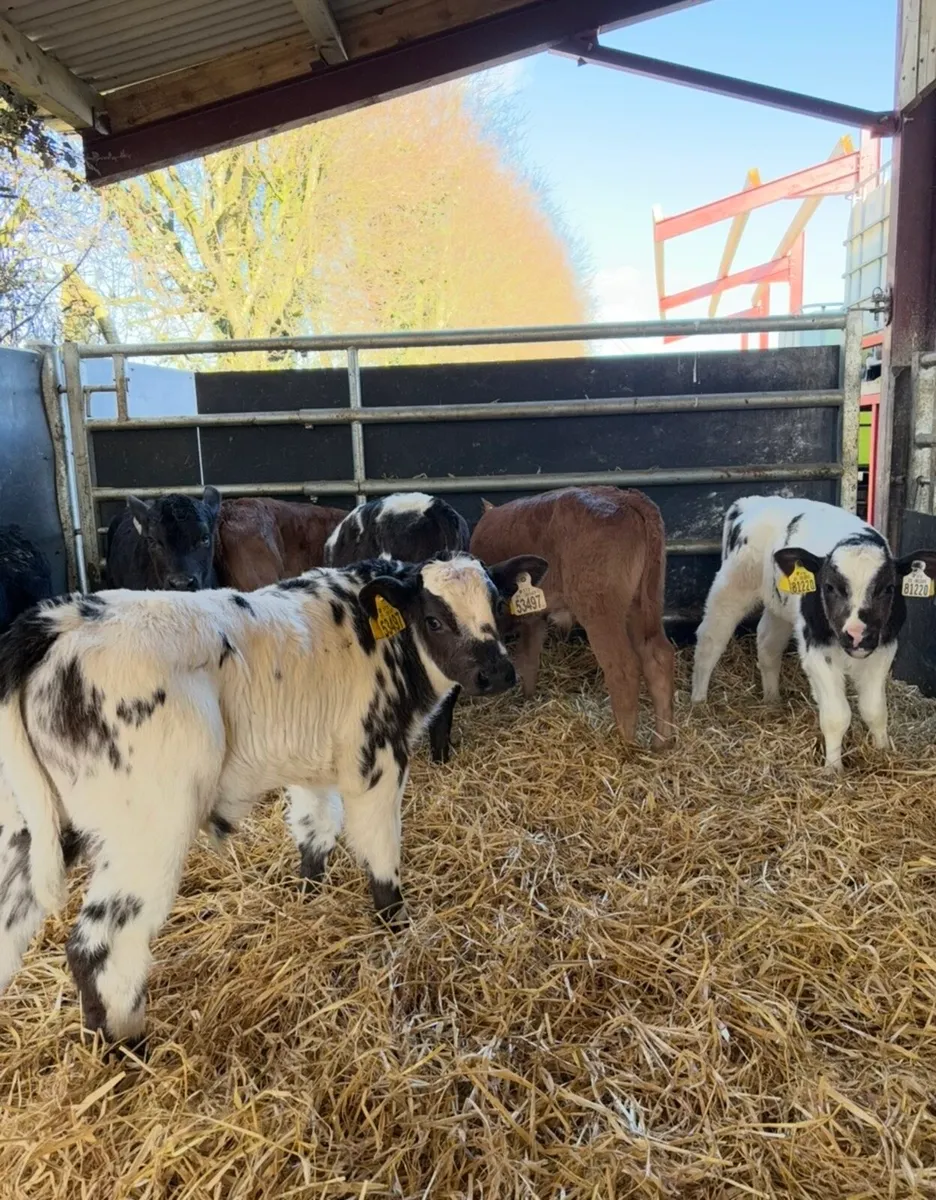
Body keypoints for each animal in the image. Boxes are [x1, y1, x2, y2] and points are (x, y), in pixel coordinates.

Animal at [0, 550, 545, 1048]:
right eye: (433, 619)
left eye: (499, 605)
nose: (497, 674)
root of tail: (55, 621)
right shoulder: (377, 760)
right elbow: (382, 857)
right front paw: (396, 930)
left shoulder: (314, 764)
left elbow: (315, 829)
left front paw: (308, 895)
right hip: (147, 830)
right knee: (100, 945)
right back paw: (126, 1049)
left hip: (30, 827)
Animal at [470, 487, 675, 748]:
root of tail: (625, 496)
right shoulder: (534, 616)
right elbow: (529, 657)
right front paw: (528, 699)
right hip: (642, 605)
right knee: (658, 657)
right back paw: (662, 742)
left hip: (600, 612)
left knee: (623, 668)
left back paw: (624, 743)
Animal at [690, 495, 936, 770]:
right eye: (829, 586)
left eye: (888, 588)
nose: (857, 635)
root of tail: (750, 502)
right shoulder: (816, 650)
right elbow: (837, 715)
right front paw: (833, 768)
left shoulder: (884, 647)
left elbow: (874, 709)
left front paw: (882, 752)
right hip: (732, 587)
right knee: (710, 640)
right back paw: (698, 701)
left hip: (781, 606)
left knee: (767, 643)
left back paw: (772, 699)